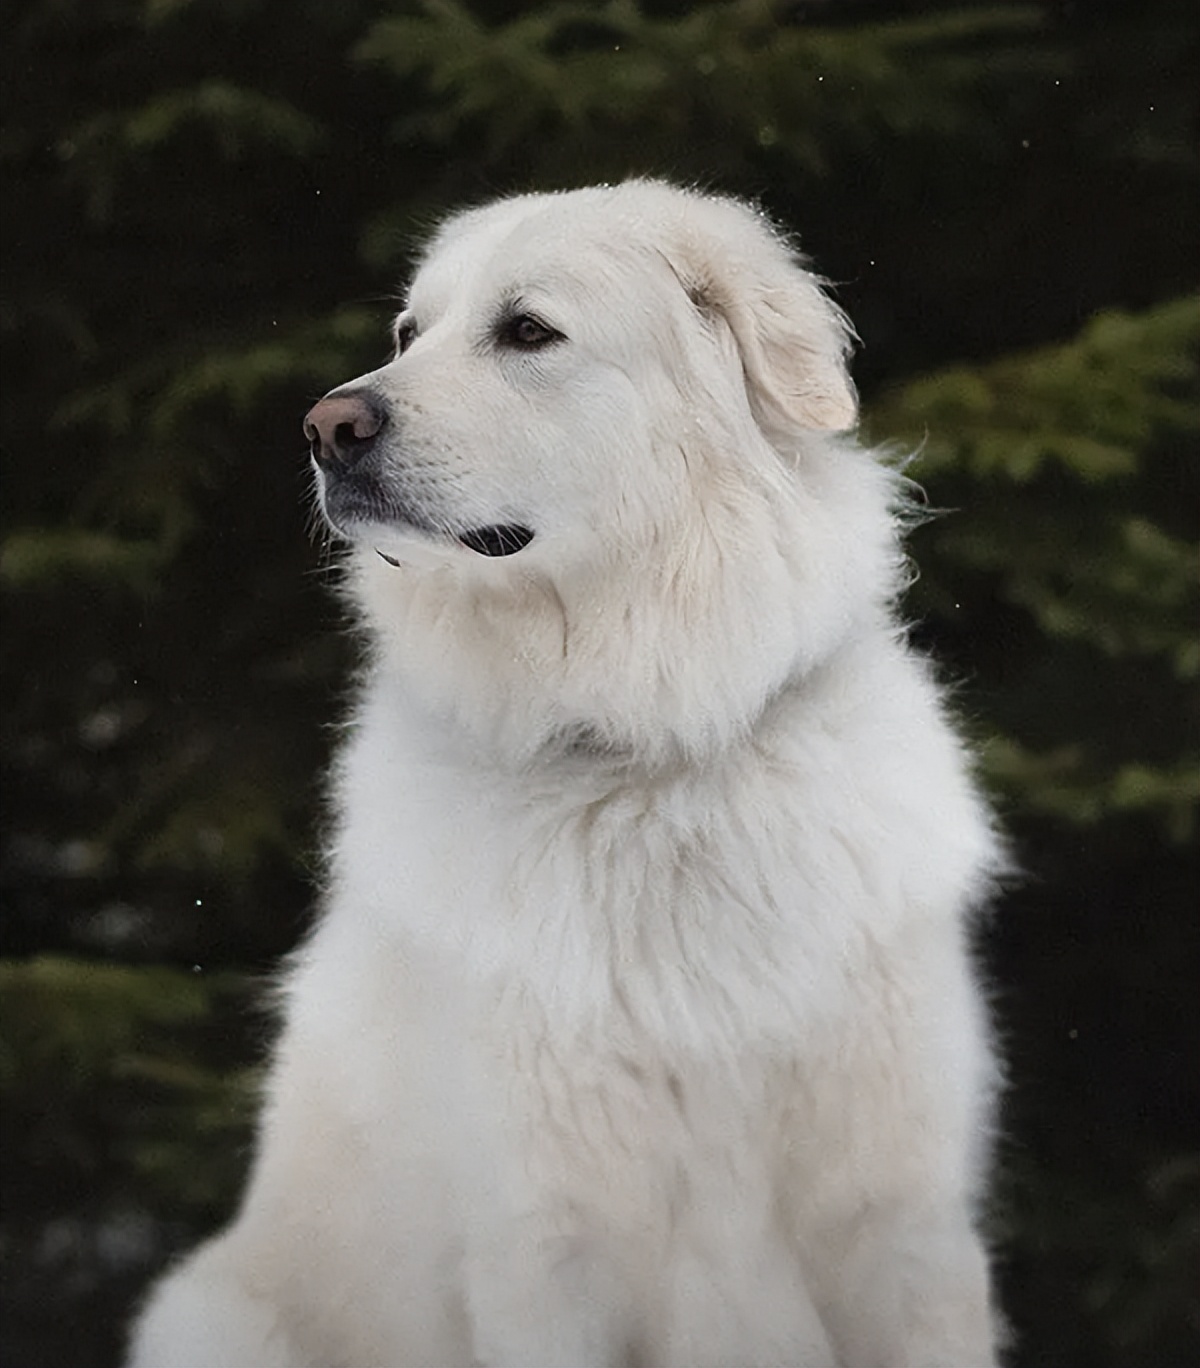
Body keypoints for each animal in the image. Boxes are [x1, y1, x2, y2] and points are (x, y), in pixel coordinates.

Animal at [126, 181, 1001, 1368]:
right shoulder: (545, 1250)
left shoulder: (901, 1228)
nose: (325, 427)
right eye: (409, 333)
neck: (645, 759)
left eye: (528, 331)